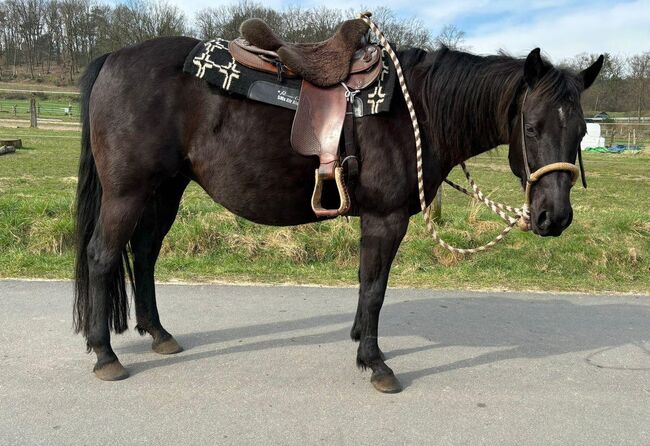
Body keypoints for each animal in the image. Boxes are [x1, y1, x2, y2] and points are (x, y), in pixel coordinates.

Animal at [74, 33, 604, 392]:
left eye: (581, 130)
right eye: (531, 127)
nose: (554, 218)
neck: (418, 110)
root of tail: (113, 58)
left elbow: (366, 283)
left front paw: (358, 338)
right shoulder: (386, 218)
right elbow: (375, 287)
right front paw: (375, 361)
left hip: (166, 189)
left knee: (143, 254)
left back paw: (159, 333)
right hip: (128, 192)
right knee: (102, 256)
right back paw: (105, 354)